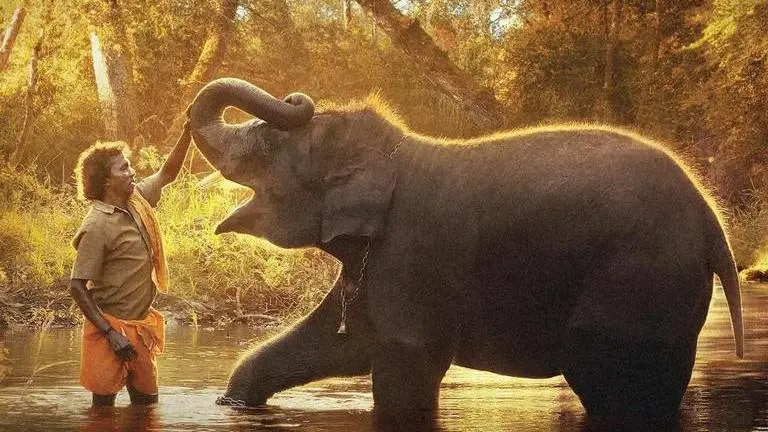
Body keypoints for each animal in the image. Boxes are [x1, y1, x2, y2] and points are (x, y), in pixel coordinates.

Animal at [188, 77, 744, 421]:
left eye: (269, 147)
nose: (297, 96)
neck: (395, 154)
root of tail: (712, 223)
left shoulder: (413, 252)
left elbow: (406, 365)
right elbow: (341, 343)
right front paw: (232, 403)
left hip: (638, 278)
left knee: (606, 377)